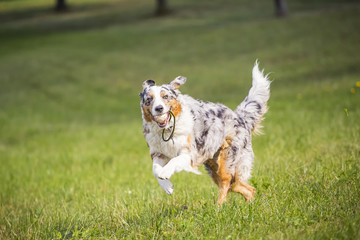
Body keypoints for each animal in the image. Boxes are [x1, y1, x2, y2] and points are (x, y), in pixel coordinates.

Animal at [139, 62, 268, 204]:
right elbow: (155, 170)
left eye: (165, 96)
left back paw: (219, 206)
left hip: (227, 161)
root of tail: (240, 116)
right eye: (149, 99)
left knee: (228, 183)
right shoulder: (158, 153)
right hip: (213, 166)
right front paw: (167, 187)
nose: (159, 108)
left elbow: (173, 161)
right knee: (243, 188)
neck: (167, 130)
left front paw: (165, 173)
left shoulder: (189, 154)